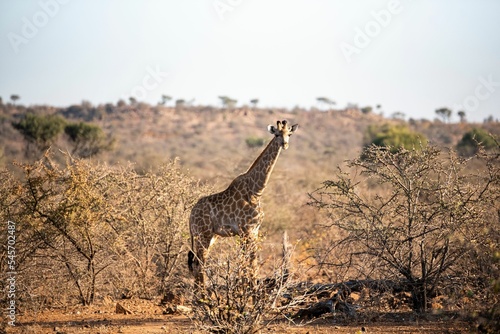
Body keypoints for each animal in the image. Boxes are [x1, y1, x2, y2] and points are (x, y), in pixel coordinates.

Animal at [187, 118, 296, 288]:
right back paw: (203, 293)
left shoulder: (254, 230)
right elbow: (249, 263)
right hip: (202, 234)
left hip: (211, 236)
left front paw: (249, 289)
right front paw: (250, 291)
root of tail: (191, 214)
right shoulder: (247, 230)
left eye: (289, 134)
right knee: (199, 263)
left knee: (197, 263)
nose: (285, 144)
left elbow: (252, 263)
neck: (256, 191)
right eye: (277, 134)